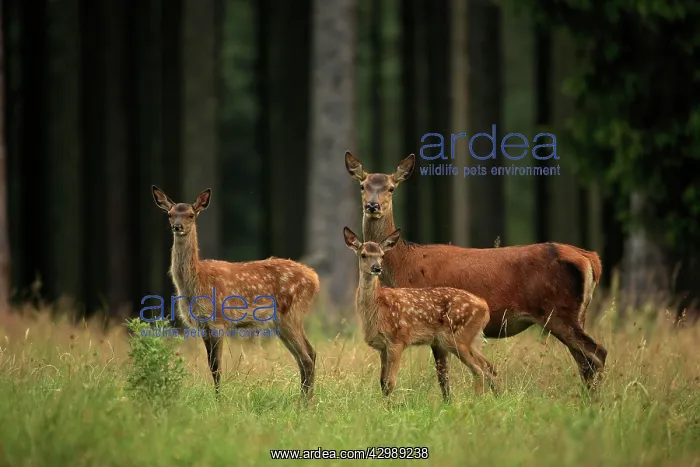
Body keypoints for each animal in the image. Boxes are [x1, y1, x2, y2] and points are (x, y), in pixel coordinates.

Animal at [151, 185, 320, 400]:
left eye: (191, 214)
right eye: (170, 214)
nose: (177, 227)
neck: (196, 283)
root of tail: (314, 278)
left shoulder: (218, 321)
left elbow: (217, 367)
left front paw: (219, 401)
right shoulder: (201, 325)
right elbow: (211, 366)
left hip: (291, 314)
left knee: (306, 357)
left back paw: (304, 403)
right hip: (282, 322)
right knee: (308, 354)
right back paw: (305, 401)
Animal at [344, 227, 498, 400]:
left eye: (382, 255)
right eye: (363, 254)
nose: (377, 268)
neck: (376, 308)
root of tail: (484, 306)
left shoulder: (397, 340)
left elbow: (390, 383)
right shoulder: (382, 347)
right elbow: (382, 383)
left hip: (457, 337)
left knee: (478, 370)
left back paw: (475, 400)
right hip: (472, 339)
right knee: (488, 366)